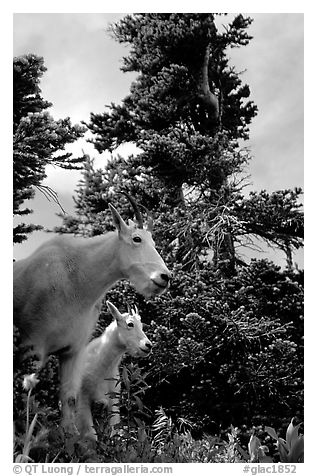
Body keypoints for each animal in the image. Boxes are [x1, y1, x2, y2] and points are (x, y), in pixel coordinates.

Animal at [13, 193, 169, 432]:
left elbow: (69, 400)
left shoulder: (73, 350)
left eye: (153, 242)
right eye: (136, 239)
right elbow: (27, 393)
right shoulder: (33, 345)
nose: (165, 277)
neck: (79, 281)